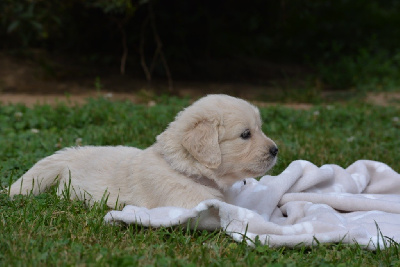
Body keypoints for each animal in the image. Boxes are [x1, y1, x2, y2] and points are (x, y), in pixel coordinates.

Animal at [8, 95, 278, 210]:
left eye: (259, 128)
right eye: (246, 134)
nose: (275, 150)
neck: (184, 169)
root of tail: (73, 152)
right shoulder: (190, 203)